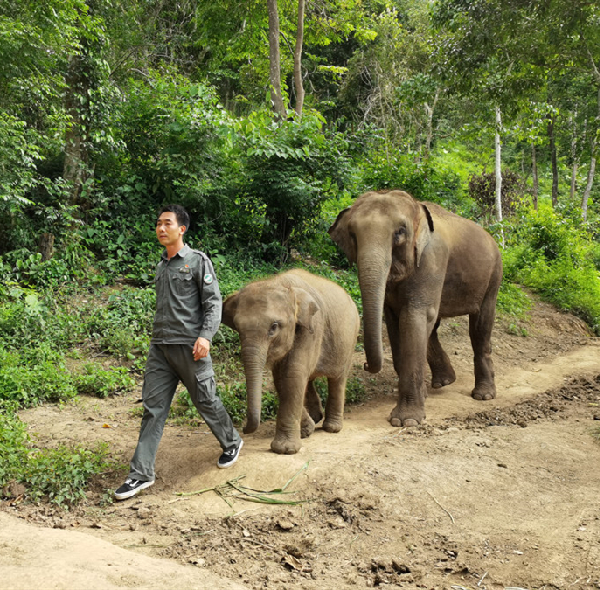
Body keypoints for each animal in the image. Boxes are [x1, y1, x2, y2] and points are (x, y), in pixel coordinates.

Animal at [223, 270, 358, 458]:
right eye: (237, 327)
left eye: (274, 327)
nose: (243, 428)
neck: (279, 283)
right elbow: (281, 380)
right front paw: (306, 431)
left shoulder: (312, 328)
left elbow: (292, 376)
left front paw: (285, 450)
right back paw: (316, 418)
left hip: (349, 339)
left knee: (337, 379)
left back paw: (332, 428)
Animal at [330, 192, 504, 428]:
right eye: (352, 234)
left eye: (400, 231)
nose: (365, 364)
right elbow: (395, 320)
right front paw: (419, 401)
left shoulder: (432, 260)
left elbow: (414, 316)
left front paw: (405, 421)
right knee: (434, 326)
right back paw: (443, 382)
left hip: (493, 276)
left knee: (480, 326)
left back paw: (483, 395)